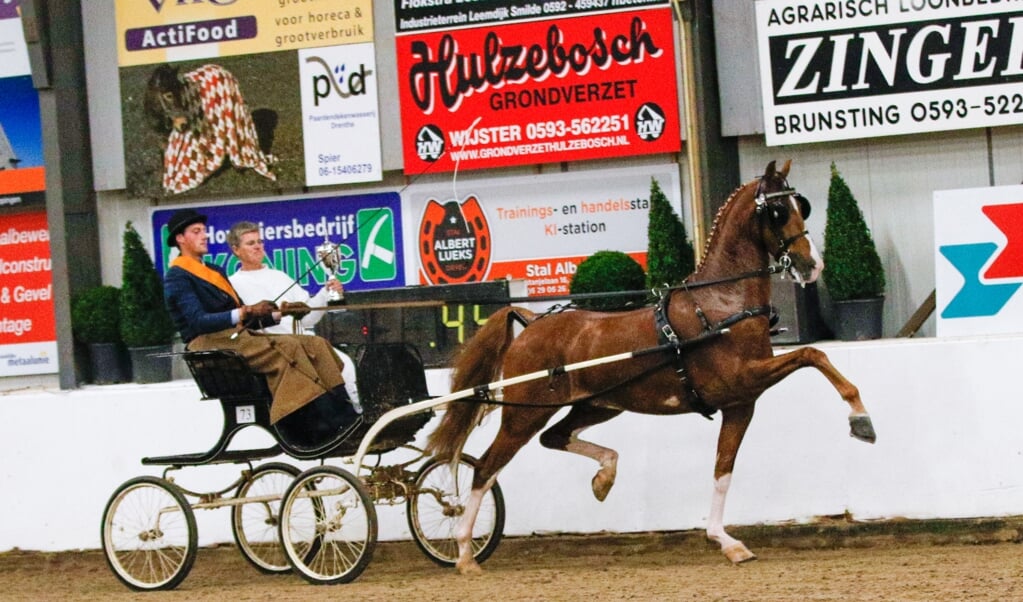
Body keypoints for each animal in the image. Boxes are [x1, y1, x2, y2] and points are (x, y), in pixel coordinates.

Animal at [427, 160, 875, 573]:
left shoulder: (740, 404)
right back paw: (464, 553)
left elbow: (723, 470)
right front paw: (861, 419)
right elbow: (811, 355)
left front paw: (726, 540)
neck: (719, 305)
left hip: (597, 406)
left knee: (554, 438)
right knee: (486, 467)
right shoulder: (743, 380)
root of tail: (530, 321)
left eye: (802, 205)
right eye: (779, 211)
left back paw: (604, 477)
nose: (812, 265)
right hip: (523, 415)